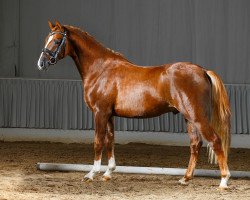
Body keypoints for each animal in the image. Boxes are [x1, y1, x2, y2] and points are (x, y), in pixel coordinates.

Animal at [37, 21, 232, 188]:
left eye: (56, 40)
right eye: (46, 39)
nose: (41, 63)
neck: (101, 69)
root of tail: (203, 71)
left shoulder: (100, 112)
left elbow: (98, 141)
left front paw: (91, 174)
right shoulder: (109, 115)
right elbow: (110, 140)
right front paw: (108, 173)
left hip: (197, 117)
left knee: (215, 140)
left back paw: (223, 180)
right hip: (189, 118)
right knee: (195, 144)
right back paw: (185, 178)